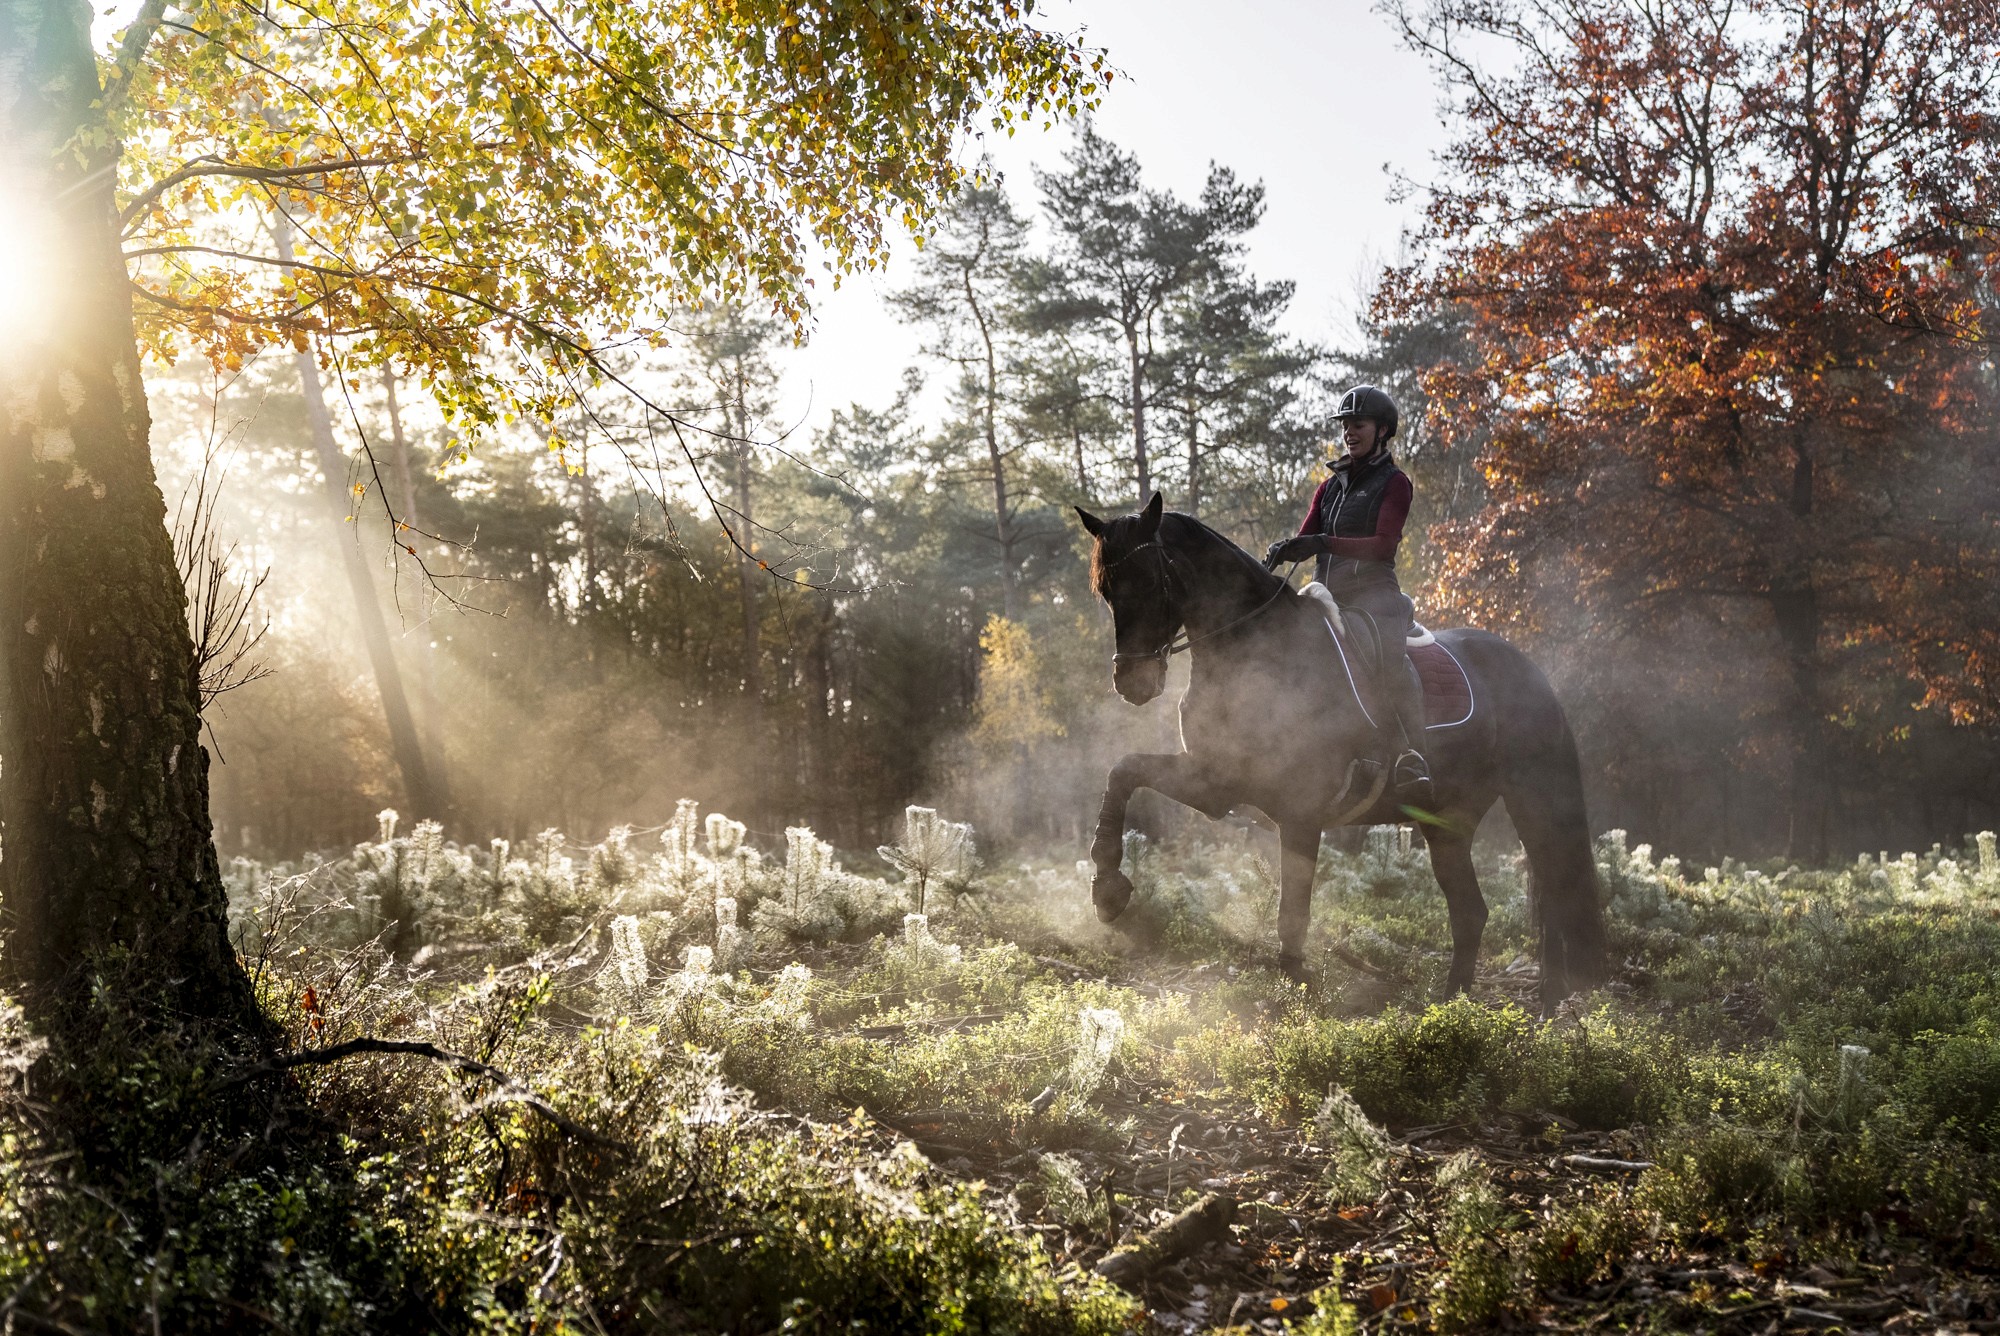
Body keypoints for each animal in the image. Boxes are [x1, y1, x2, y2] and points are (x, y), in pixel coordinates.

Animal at [1075, 493, 1609, 1012]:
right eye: (1106, 591)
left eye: (1149, 580)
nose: (1132, 683)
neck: (1259, 654)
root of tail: (1531, 670)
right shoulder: (1214, 783)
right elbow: (1123, 771)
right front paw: (1108, 887)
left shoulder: (1300, 811)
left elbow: (1293, 912)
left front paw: (1296, 996)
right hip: (1447, 823)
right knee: (1472, 912)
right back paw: (1454, 1008)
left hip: (1534, 800)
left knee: (1554, 891)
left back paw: (1547, 1004)